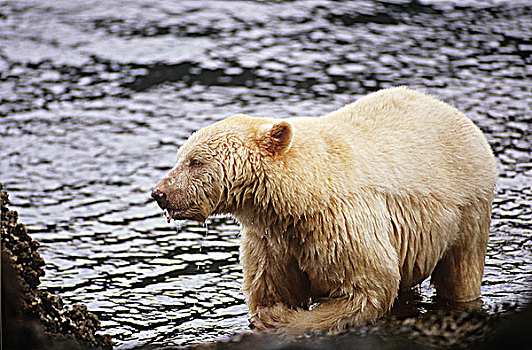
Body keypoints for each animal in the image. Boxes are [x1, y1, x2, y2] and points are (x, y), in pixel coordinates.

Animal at [152, 86, 496, 332]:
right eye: (180, 157)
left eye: (195, 161)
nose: (160, 193)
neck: (299, 194)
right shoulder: (271, 239)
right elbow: (272, 285)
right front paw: (269, 310)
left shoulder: (343, 226)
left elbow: (365, 288)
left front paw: (278, 319)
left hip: (468, 210)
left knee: (460, 271)